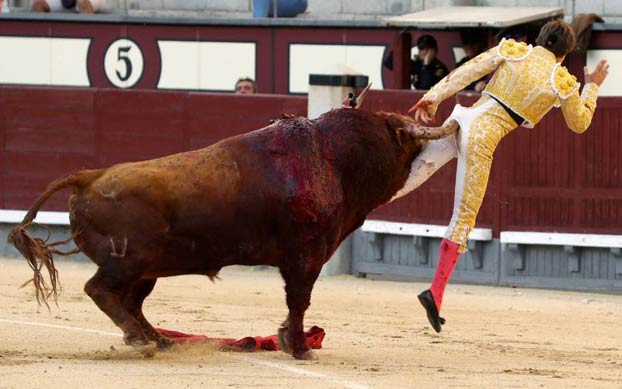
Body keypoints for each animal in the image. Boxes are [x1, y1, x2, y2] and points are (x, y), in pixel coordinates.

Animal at [7, 95, 458, 360]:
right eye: (404, 139)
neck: (334, 160)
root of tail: (90, 176)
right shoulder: (305, 257)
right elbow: (299, 302)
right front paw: (300, 349)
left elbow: (296, 304)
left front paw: (286, 340)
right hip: (129, 260)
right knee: (100, 290)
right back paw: (141, 341)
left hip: (147, 268)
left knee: (131, 300)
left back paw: (158, 339)